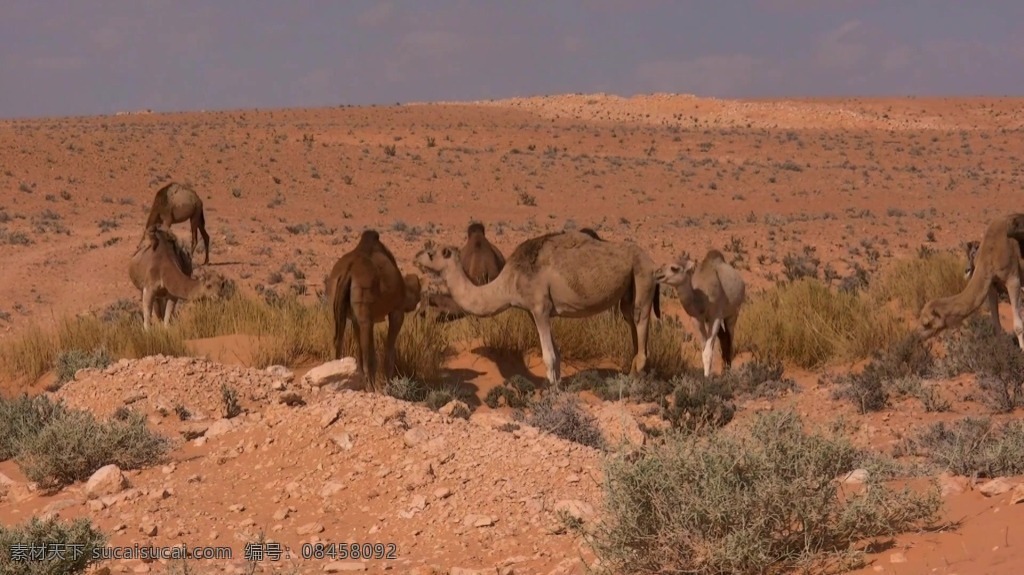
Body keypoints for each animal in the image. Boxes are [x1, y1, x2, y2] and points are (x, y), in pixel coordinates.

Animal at [321, 228, 413, 388]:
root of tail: (348, 271)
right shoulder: (397, 311)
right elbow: (388, 352)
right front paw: (389, 384)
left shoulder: (356, 318)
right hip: (365, 313)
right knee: (367, 355)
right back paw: (370, 387)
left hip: (336, 309)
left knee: (337, 342)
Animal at [415, 228, 663, 384]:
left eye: (430, 253)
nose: (415, 257)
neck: (509, 282)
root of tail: (653, 263)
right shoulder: (533, 311)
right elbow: (557, 356)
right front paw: (558, 389)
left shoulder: (540, 307)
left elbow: (549, 357)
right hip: (628, 292)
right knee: (632, 327)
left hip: (643, 280)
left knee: (641, 329)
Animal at [655, 247, 745, 376]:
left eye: (674, 268)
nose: (658, 274)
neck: (701, 299)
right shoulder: (697, 319)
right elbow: (704, 350)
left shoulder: (716, 316)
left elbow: (708, 352)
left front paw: (707, 377)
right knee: (724, 339)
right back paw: (724, 370)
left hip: (733, 313)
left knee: (730, 340)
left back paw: (728, 370)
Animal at [917, 210, 1024, 347]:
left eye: (927, 323)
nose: (917, 336)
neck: (991, 252)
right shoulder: (991, 284)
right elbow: (996, 326)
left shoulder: (1013, 279)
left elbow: (1018, 326)